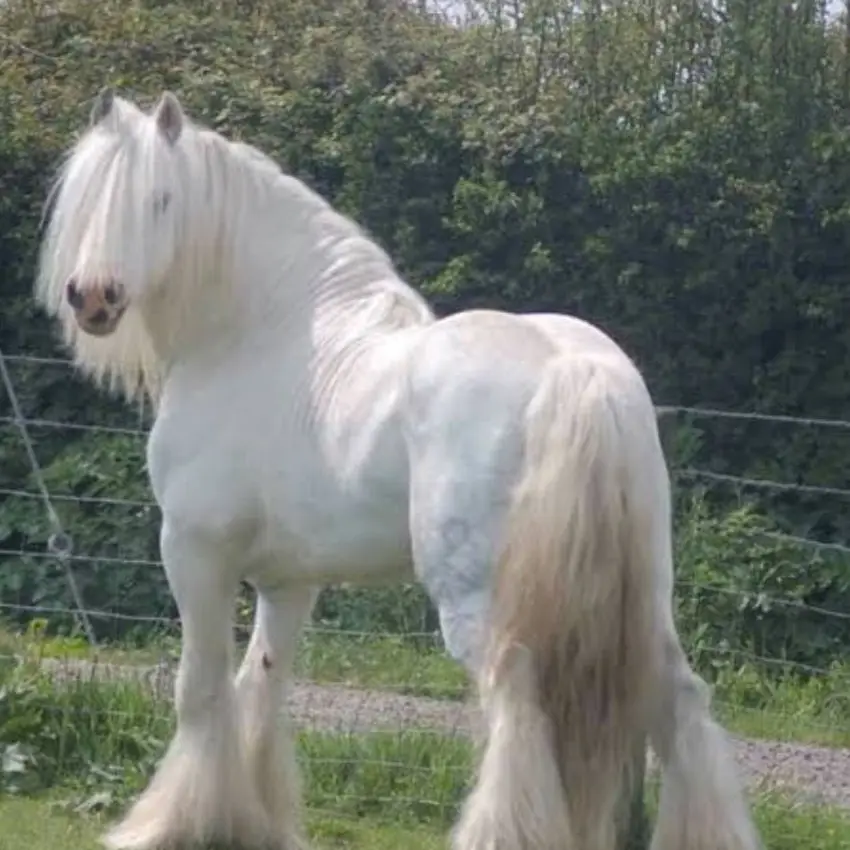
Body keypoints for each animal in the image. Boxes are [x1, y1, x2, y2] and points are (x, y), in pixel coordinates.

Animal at [35, 88, 763, 850]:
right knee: (681, 704)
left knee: (519, 714)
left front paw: (169, 824)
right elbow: (262, 686)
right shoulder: (288, 581)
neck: (263, 337)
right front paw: (252, 821)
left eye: (161, 198)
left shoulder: (193, 550)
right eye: (93, 199)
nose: (93, 297)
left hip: (482, 611)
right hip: (645, 599)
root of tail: (575, 370)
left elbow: (201, 690)